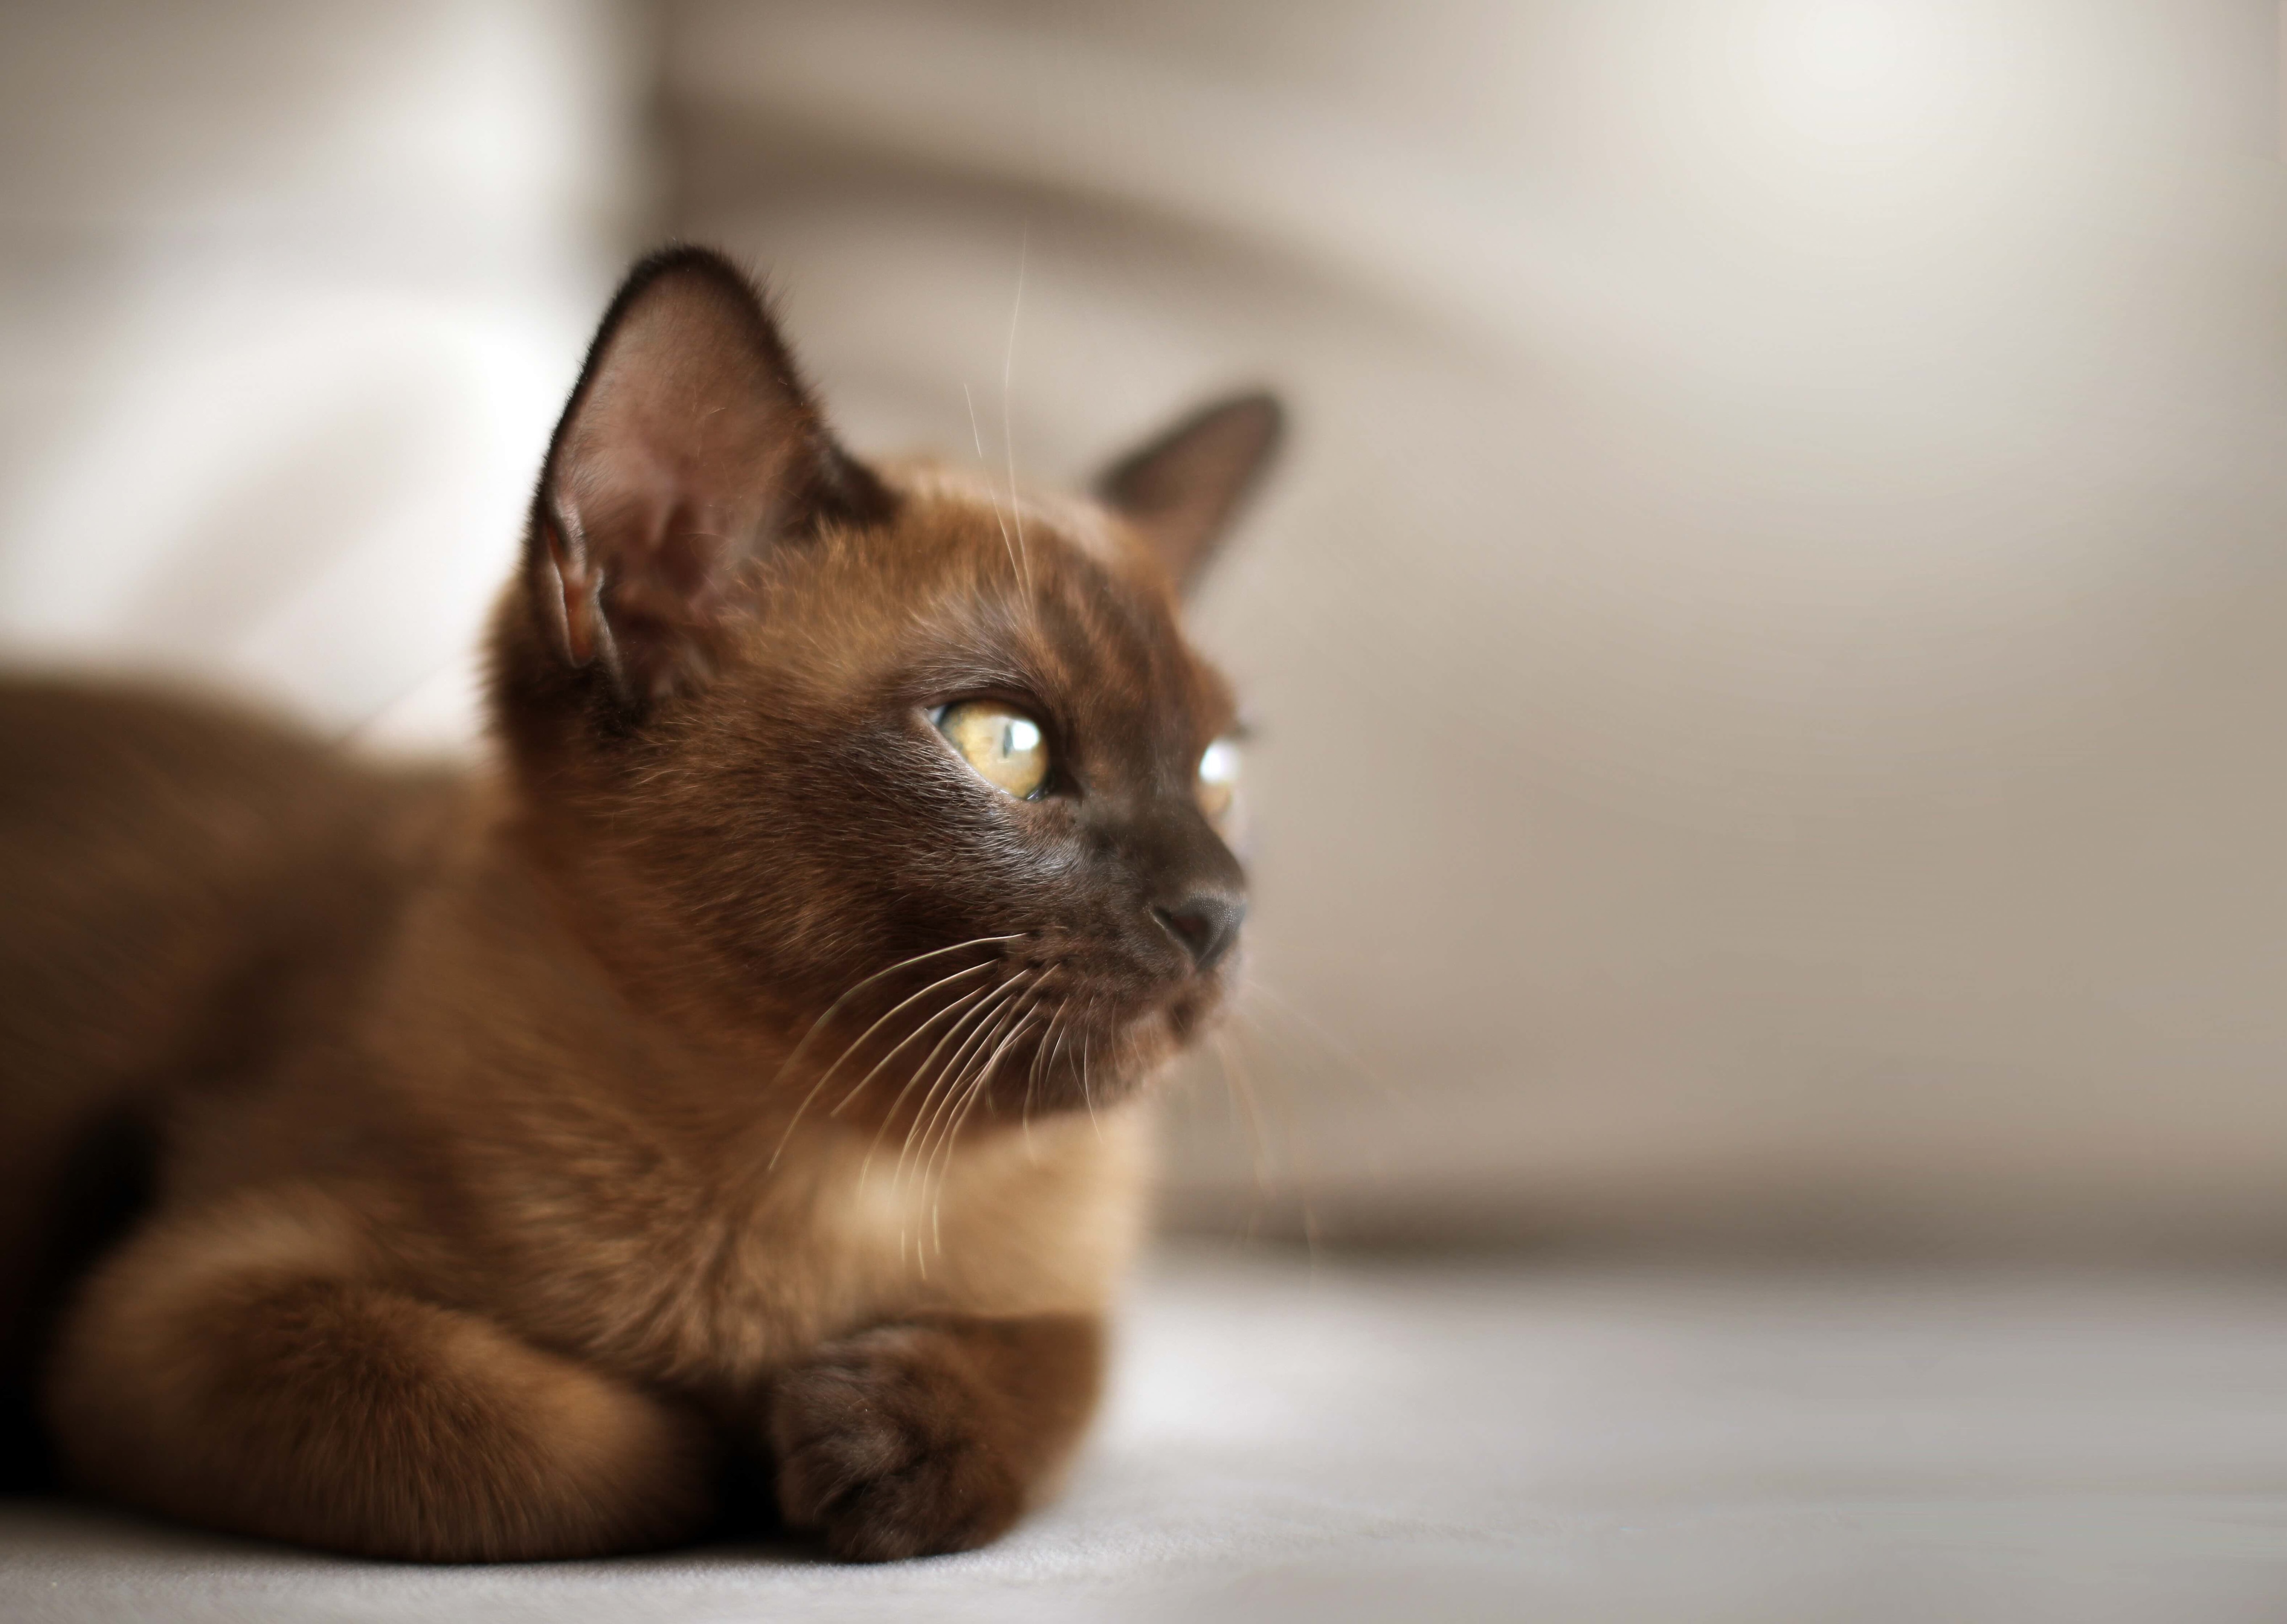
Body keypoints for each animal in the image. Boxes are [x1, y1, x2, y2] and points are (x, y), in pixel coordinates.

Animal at [0, 245, 1290, 1564]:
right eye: (1005, 744)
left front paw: (878, 1437)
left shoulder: (1061, 1297)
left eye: (1216, 770)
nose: (1218, 912)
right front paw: (738, 1447)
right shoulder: (165, 1319)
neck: (851, 1172)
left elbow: (1058, 1369)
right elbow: (565, 1445)